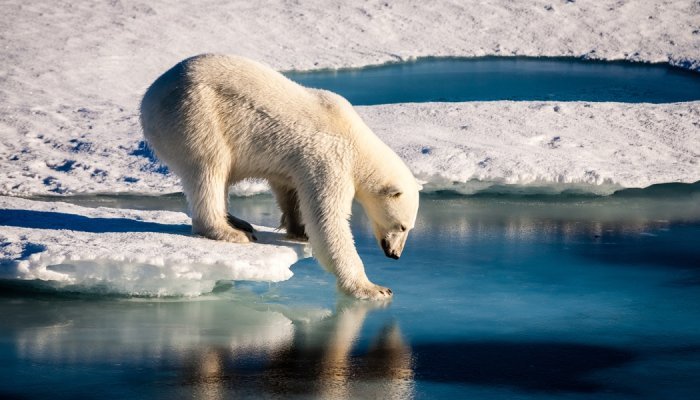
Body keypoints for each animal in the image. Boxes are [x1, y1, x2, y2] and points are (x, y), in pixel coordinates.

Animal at [139, 56, 418, 300]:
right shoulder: (330, 159)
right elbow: (328, 221)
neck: (356, 141)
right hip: (195, 115)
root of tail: (149, 97)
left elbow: (289, 189)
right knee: (209, 168)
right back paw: (230, 231)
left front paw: (299, 230)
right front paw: (374, 288)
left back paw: (238, 222)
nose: (395, 254)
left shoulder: (296, 163)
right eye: (402, 226)